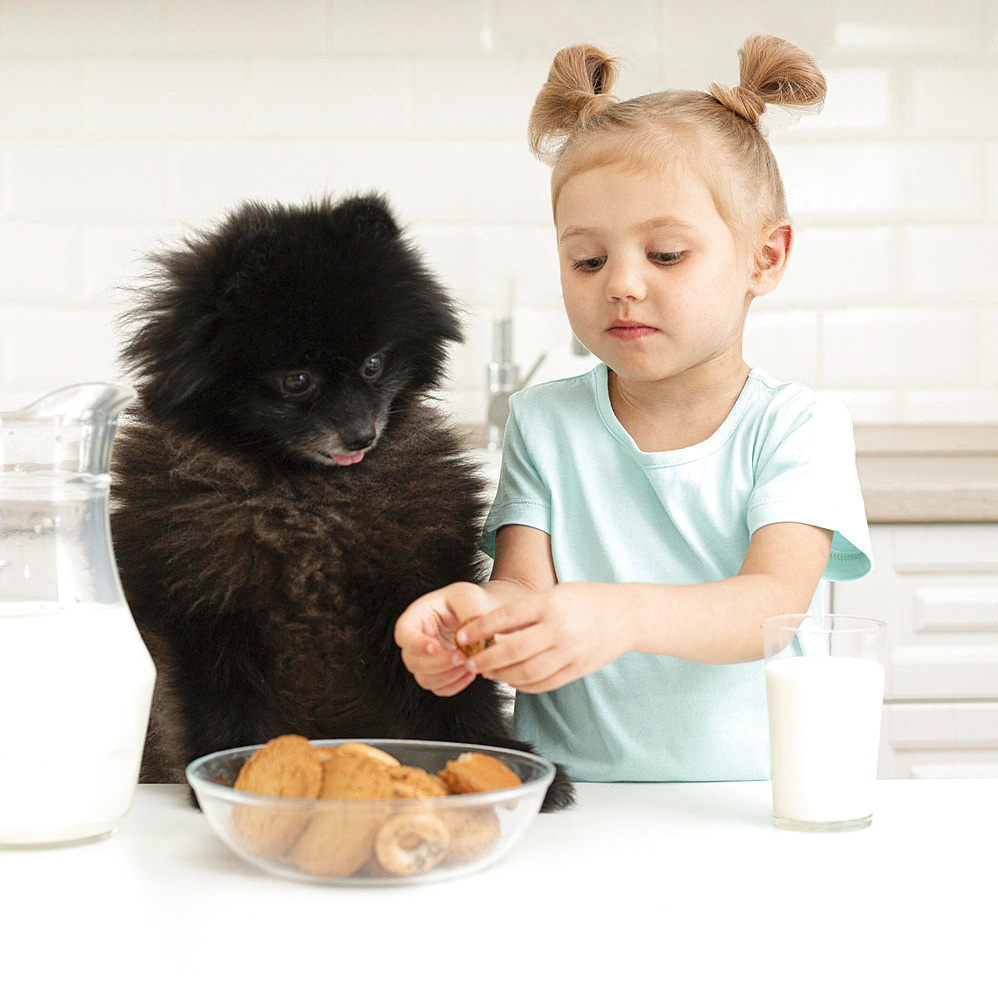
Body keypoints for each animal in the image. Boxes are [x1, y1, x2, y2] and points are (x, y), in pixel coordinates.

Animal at [109, 193, 576, 812]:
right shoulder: (206, 609)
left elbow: (457, 697)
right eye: (296, 380)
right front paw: (237, 777)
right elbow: (226, 706)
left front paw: (499, 758)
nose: (361, 434)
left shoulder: (415, 583)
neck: (306, 500)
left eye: (374, 365)